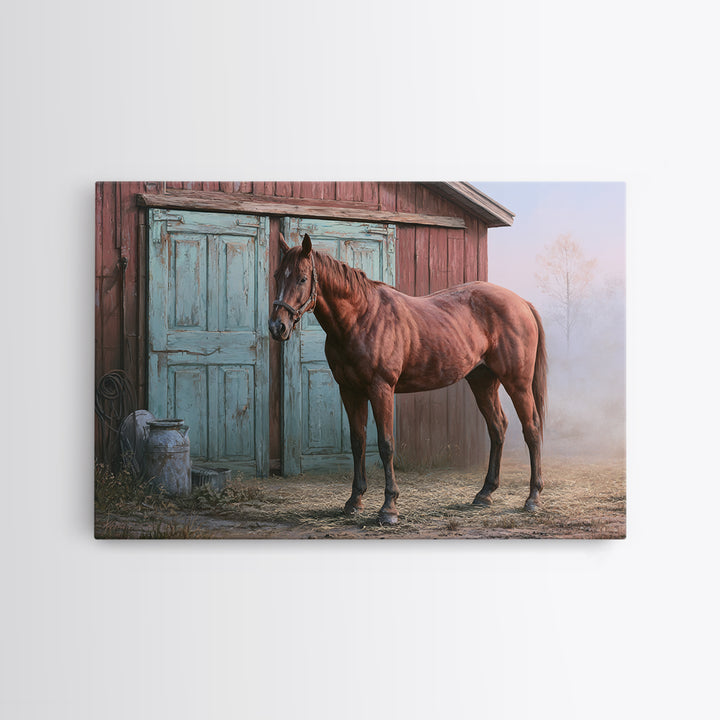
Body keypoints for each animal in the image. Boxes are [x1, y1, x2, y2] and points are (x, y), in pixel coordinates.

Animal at [269, 232, 547, 524]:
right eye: (277, 275)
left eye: (302, 278)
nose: (277, 326)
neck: (360, 318)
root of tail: (522, 303)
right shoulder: (349, 390)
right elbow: (357, 442)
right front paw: (354, 501)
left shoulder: (381, 389)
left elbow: (386, 444)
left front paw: (389, 507)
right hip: (483, 381)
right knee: (497, 427)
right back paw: (485, 493)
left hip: (517, 383)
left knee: (532, 429)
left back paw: (533, 497)